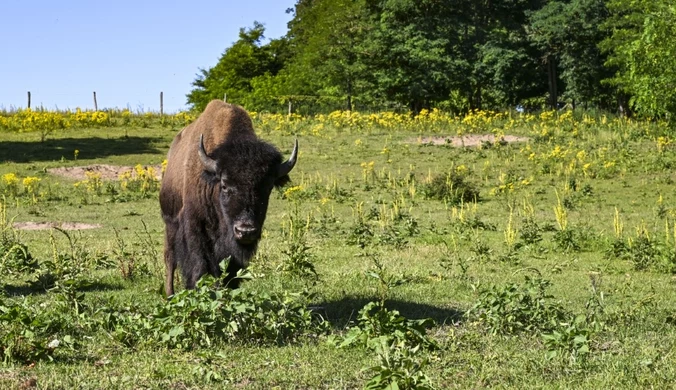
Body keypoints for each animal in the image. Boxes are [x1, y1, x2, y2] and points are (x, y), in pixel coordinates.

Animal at [160, 100, 298, 296]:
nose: (245, 231)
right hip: (169, 223)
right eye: (224, 185)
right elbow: (198, 264)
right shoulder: (195, 227)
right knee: (170, 258)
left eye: (268, 187)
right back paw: (170, 294)